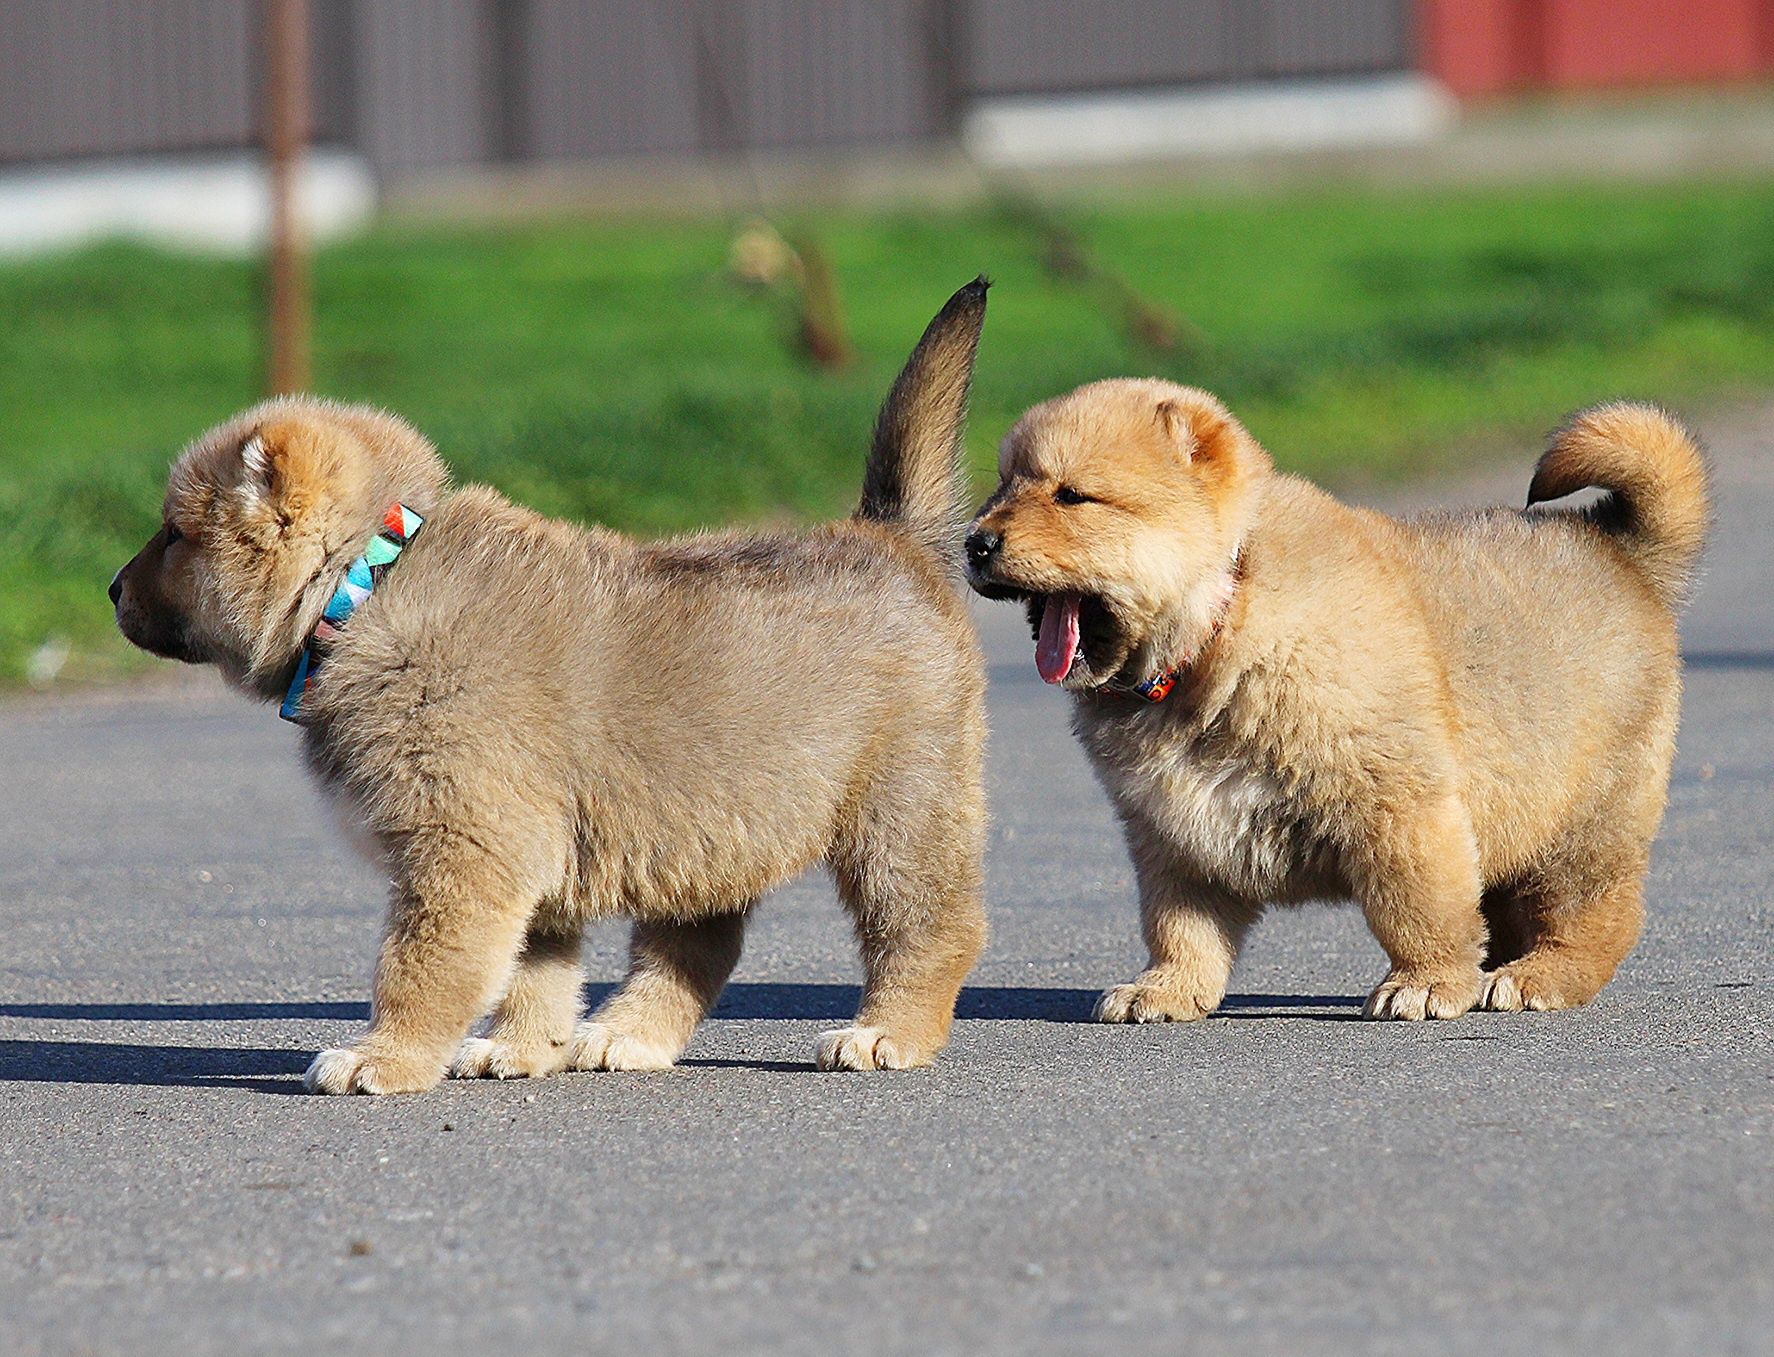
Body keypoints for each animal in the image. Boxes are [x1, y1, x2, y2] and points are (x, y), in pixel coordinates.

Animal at [116, 278, 993, 1092]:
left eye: (174, 534)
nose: (112, 589)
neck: (368, 586)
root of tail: (891, 537)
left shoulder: (466, 846)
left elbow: (420, 967)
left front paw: (383, 1057)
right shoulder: (522, 857)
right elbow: (532, 972)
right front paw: (517, 1046)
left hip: (900, 809)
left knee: (931, 926)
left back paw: (885, 1033)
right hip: (713, 824)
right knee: (698, 946)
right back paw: (626, 1034)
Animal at [965, 377, 1710, 1014]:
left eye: (1072, 496)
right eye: (1003, 486)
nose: (976, 542)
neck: (1219, 625)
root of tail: (1620, 551)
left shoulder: (1399, 805)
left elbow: (1419, 911)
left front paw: (1425, 984)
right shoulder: (1170, 832)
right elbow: (1179, 928)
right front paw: (1166, 990)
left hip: (1582, 820)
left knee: (1595, 916)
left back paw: (1534, 977)